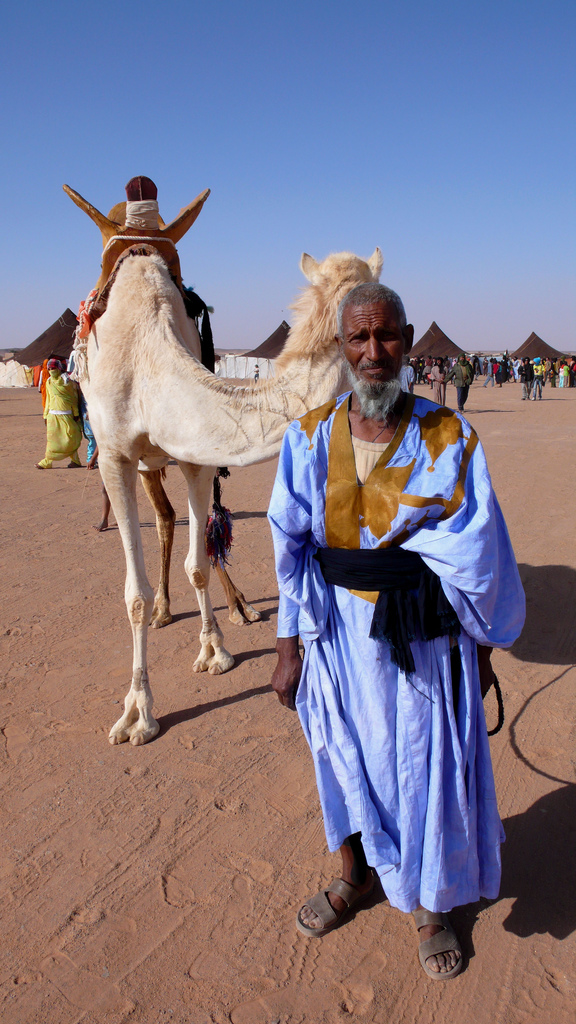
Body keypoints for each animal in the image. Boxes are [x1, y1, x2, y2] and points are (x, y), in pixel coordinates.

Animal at [65, 182, 381, 745]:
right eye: (359, 326)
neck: (147, 354)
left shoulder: (197, 454)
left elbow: (198, 565)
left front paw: (214, 650)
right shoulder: (116, 458)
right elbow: (133, 596)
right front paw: (137, 712)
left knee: (175, 523)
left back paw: (227, 611)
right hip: (140, 463)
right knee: (162, 520)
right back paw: (166, 612)